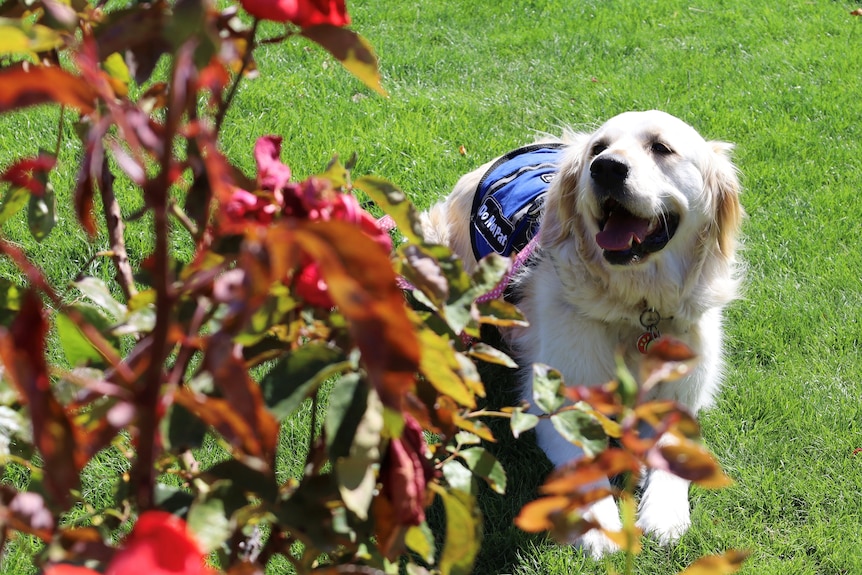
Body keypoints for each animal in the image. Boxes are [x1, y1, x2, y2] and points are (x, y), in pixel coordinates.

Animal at [420, 110, 744, 560]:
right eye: (599, 148)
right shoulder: (559, 403)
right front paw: (600, 527)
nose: (605, 168)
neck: (636, 309)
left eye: (661, 148)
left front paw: (664, 515)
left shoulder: (679, 399)